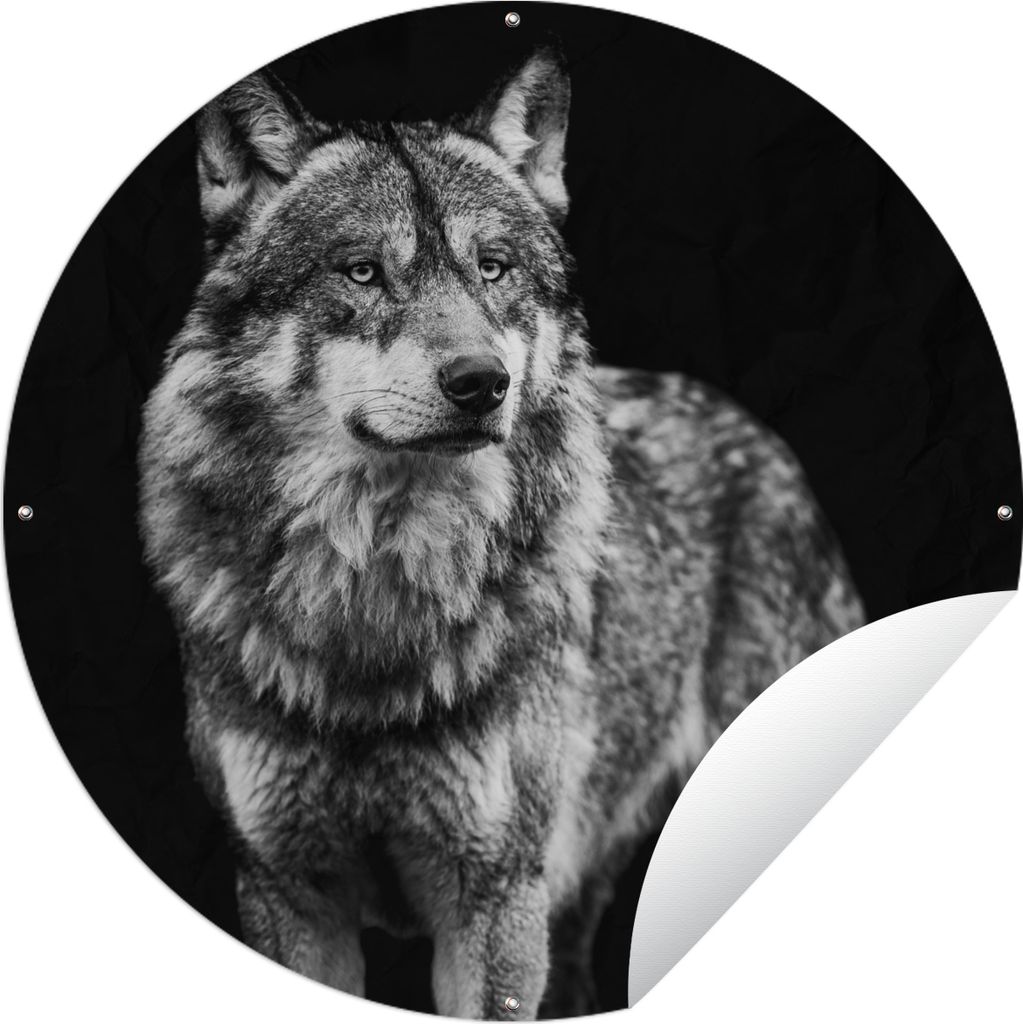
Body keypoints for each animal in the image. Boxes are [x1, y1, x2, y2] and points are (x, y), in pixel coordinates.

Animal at [138, 48, 863, 1019]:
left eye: (493, 268)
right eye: (361, 272)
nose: (481, 382)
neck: (379, 602)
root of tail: (759, 436)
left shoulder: (495, 898)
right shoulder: (287, 890)